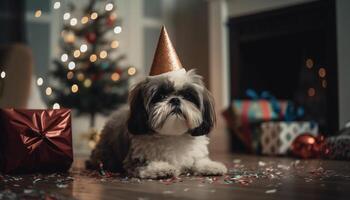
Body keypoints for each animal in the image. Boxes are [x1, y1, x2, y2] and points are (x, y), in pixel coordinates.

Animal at [87, 26, 227, 178]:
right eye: (160, 96)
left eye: (188, 96)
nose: (175, 99)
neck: (173, 135)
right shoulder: (135, 158)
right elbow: (147, 164)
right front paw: (162, 168)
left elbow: (199, 160)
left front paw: (210, 166)